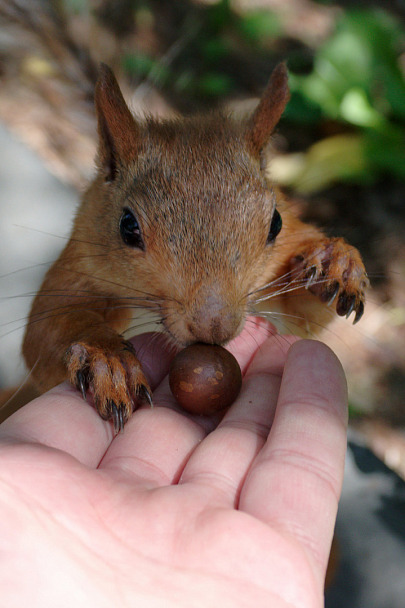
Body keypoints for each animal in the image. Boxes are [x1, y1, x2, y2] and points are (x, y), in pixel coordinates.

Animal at [22, 61, 370, 432]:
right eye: (127, 226)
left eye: (275, 222)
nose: (213, 328)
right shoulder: (77, 266)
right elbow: (46, 328)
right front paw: (106, 356)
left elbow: (307, 318)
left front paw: (336, 262)